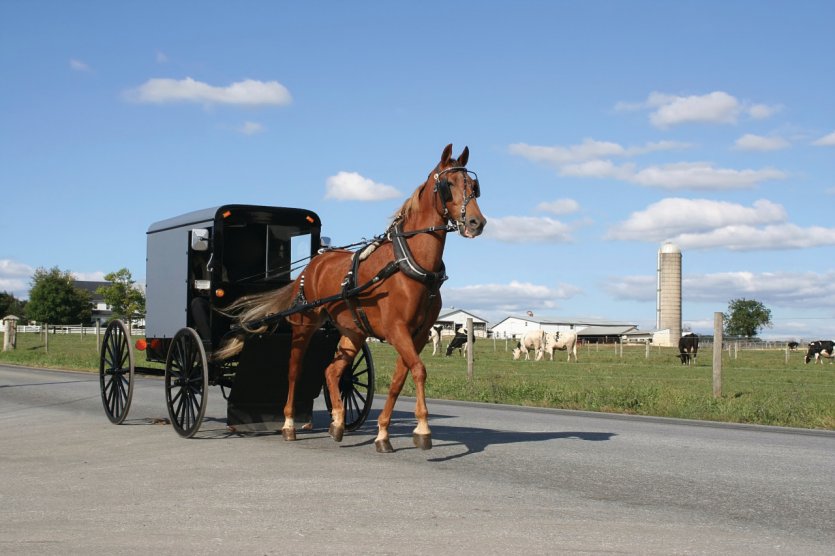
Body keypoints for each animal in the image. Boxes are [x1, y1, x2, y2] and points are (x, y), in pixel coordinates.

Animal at [216, 143, 486, 452]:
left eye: (473, 186)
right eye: (448, 185)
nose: (476, 222)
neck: (409, 264)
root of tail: (312, 264)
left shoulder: (417, 334)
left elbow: (399, 378)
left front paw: (382, 433)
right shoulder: (397, 329)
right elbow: (418, 370)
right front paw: (422, 428)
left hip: (352, 331)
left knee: (332, 371)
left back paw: (337, 422)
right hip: (304, 326)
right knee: (294, 370)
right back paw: (288, 424)